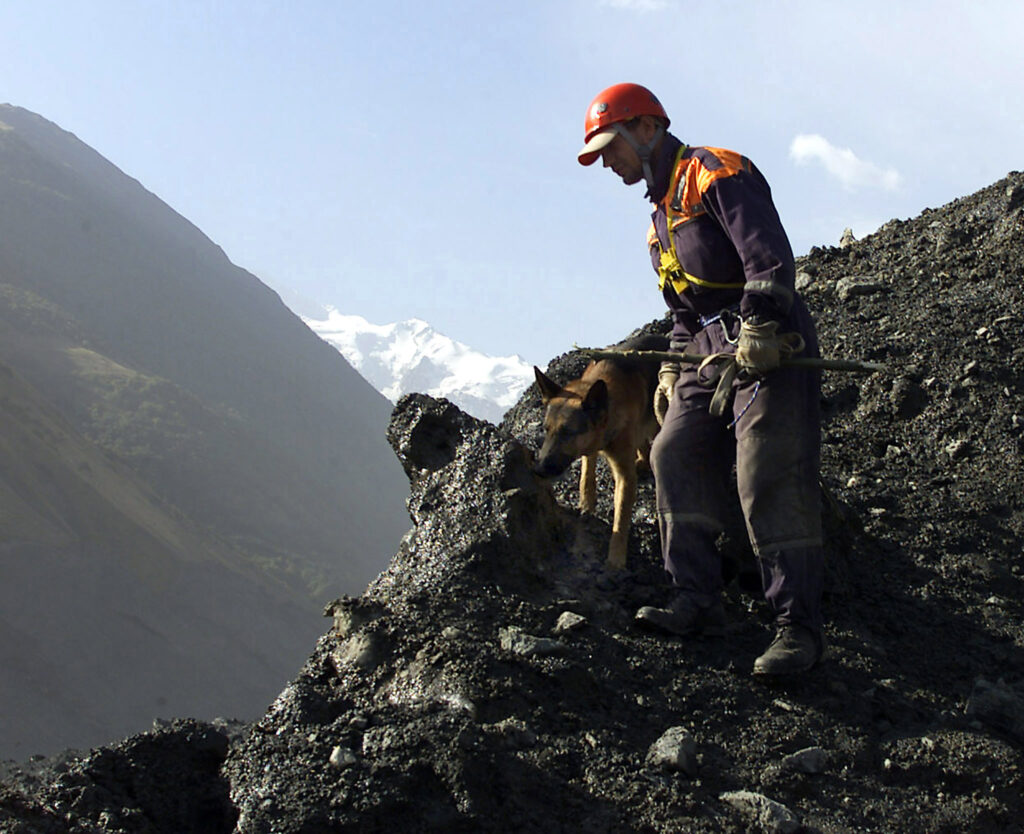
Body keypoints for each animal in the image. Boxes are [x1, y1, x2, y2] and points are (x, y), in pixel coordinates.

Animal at [533, 334, 668, 570]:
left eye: (567, 432)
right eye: (546, 429)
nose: (539, 469)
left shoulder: (624, 474)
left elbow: (620, 517)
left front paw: (615, 559)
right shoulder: (592, 447)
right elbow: (587, 472)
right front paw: (587, 503)